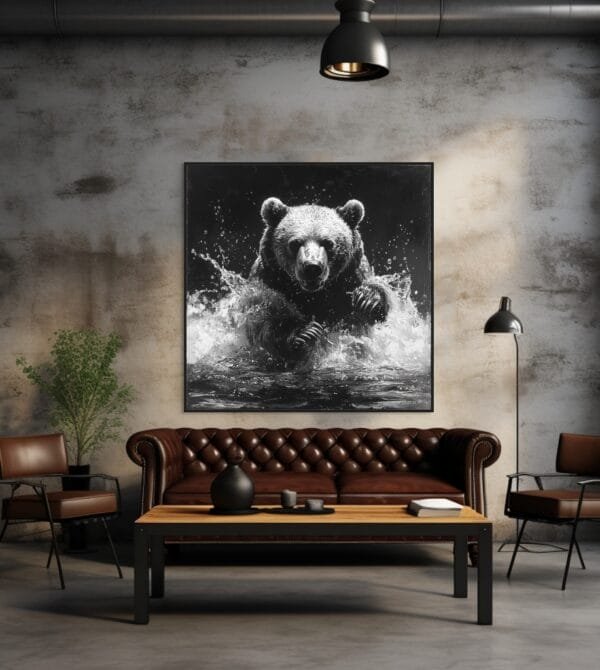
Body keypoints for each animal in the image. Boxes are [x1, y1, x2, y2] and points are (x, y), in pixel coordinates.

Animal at [244, 196, 393, 364]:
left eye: (328, 243)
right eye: (295, 243)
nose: (312, 267)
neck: (314, 295)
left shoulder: (349, 278)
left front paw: (367, 300)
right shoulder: (269, 279)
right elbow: (263, 315)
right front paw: (306, 332)